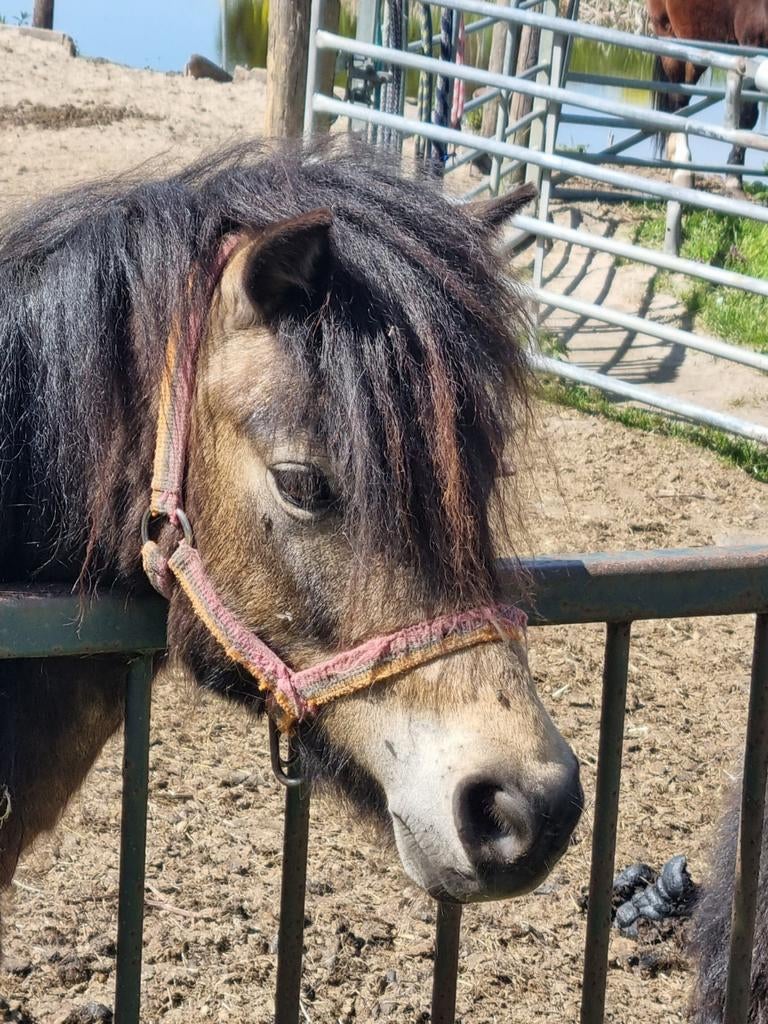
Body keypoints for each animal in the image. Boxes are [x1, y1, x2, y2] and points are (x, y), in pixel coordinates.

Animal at [645, 0, 768, 190]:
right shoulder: (753, 44)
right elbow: (748, 115)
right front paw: (734, 176)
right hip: (669, 37)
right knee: (677, 99)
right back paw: (682, 166)